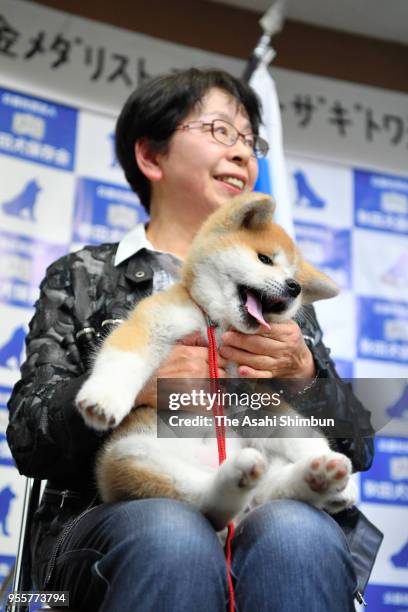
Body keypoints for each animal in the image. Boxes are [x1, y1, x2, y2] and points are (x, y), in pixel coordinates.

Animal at [77, 192, 356, 532]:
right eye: (265, 259)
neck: (218, 324)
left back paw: (323, 477)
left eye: (296, 277)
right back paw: (239, 480)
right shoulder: (152, 323)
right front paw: (102, 400)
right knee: (202, 500)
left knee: (277, 479)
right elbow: (124, 360)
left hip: (268, 428)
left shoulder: (256, 389)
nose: (294, 287)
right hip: (132, 454)